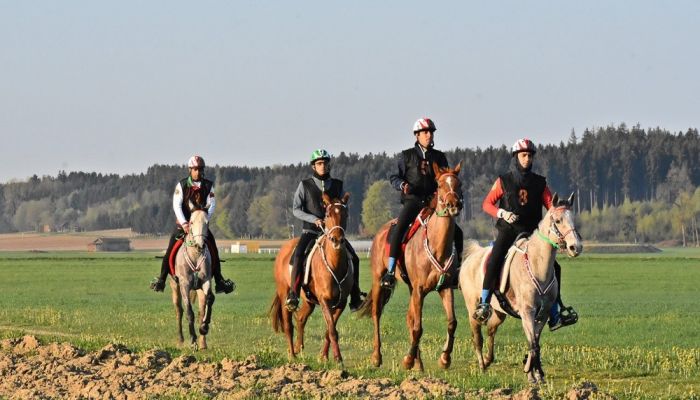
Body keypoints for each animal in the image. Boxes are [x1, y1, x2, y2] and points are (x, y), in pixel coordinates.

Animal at [168, 209, 215, 350]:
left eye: (207, 222)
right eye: (191, 222)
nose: (200, 245)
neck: (195, 254)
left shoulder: (206, 281)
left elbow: (209, 300)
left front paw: (204, 328)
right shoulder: (184, 285)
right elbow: (189, 311)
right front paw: (193, 340)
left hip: (198, 290)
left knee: (201, 311)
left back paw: (203, 343)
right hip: (175, 287)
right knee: (179, 310)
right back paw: (181, 340)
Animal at [270, 192, 352, 364]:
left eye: (345, 214)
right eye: (328, 214)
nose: (337, 239)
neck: (335, 265)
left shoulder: (340, 303)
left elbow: (329, 329)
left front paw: (324, 356)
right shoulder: (324, 300)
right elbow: (332, 329)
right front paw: (338, 358)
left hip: (308, 301)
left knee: (301, 318)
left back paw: (298, 348)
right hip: (285, 294)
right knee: (288, 325)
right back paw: (292, 355)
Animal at [358, 161, 462, 370]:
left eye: (459, 184)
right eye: (440, 185)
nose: (454, 205)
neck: (438, 245)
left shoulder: (445, 287)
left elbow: (451, 322)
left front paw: (444, 358)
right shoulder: (420, 289)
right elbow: (418, 327)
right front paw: (407, 360)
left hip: (410, 288)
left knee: (409, 317)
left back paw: (418, 364)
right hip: (379, 280)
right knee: (376, 313)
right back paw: (377, 357)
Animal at [460, 194, 584, 384]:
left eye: (573, 219)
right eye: (557, 220)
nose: (575, 247)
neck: (537, 265)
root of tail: (473, 255)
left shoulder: (543, 313)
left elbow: (535, 342)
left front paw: (537, 372)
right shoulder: (527, 312)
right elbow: (532, 343)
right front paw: (531, 373)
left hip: (499, 313)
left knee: (490, 331)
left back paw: (488, 360)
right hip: (472, 309)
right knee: (477, 337)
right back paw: (482, 365)